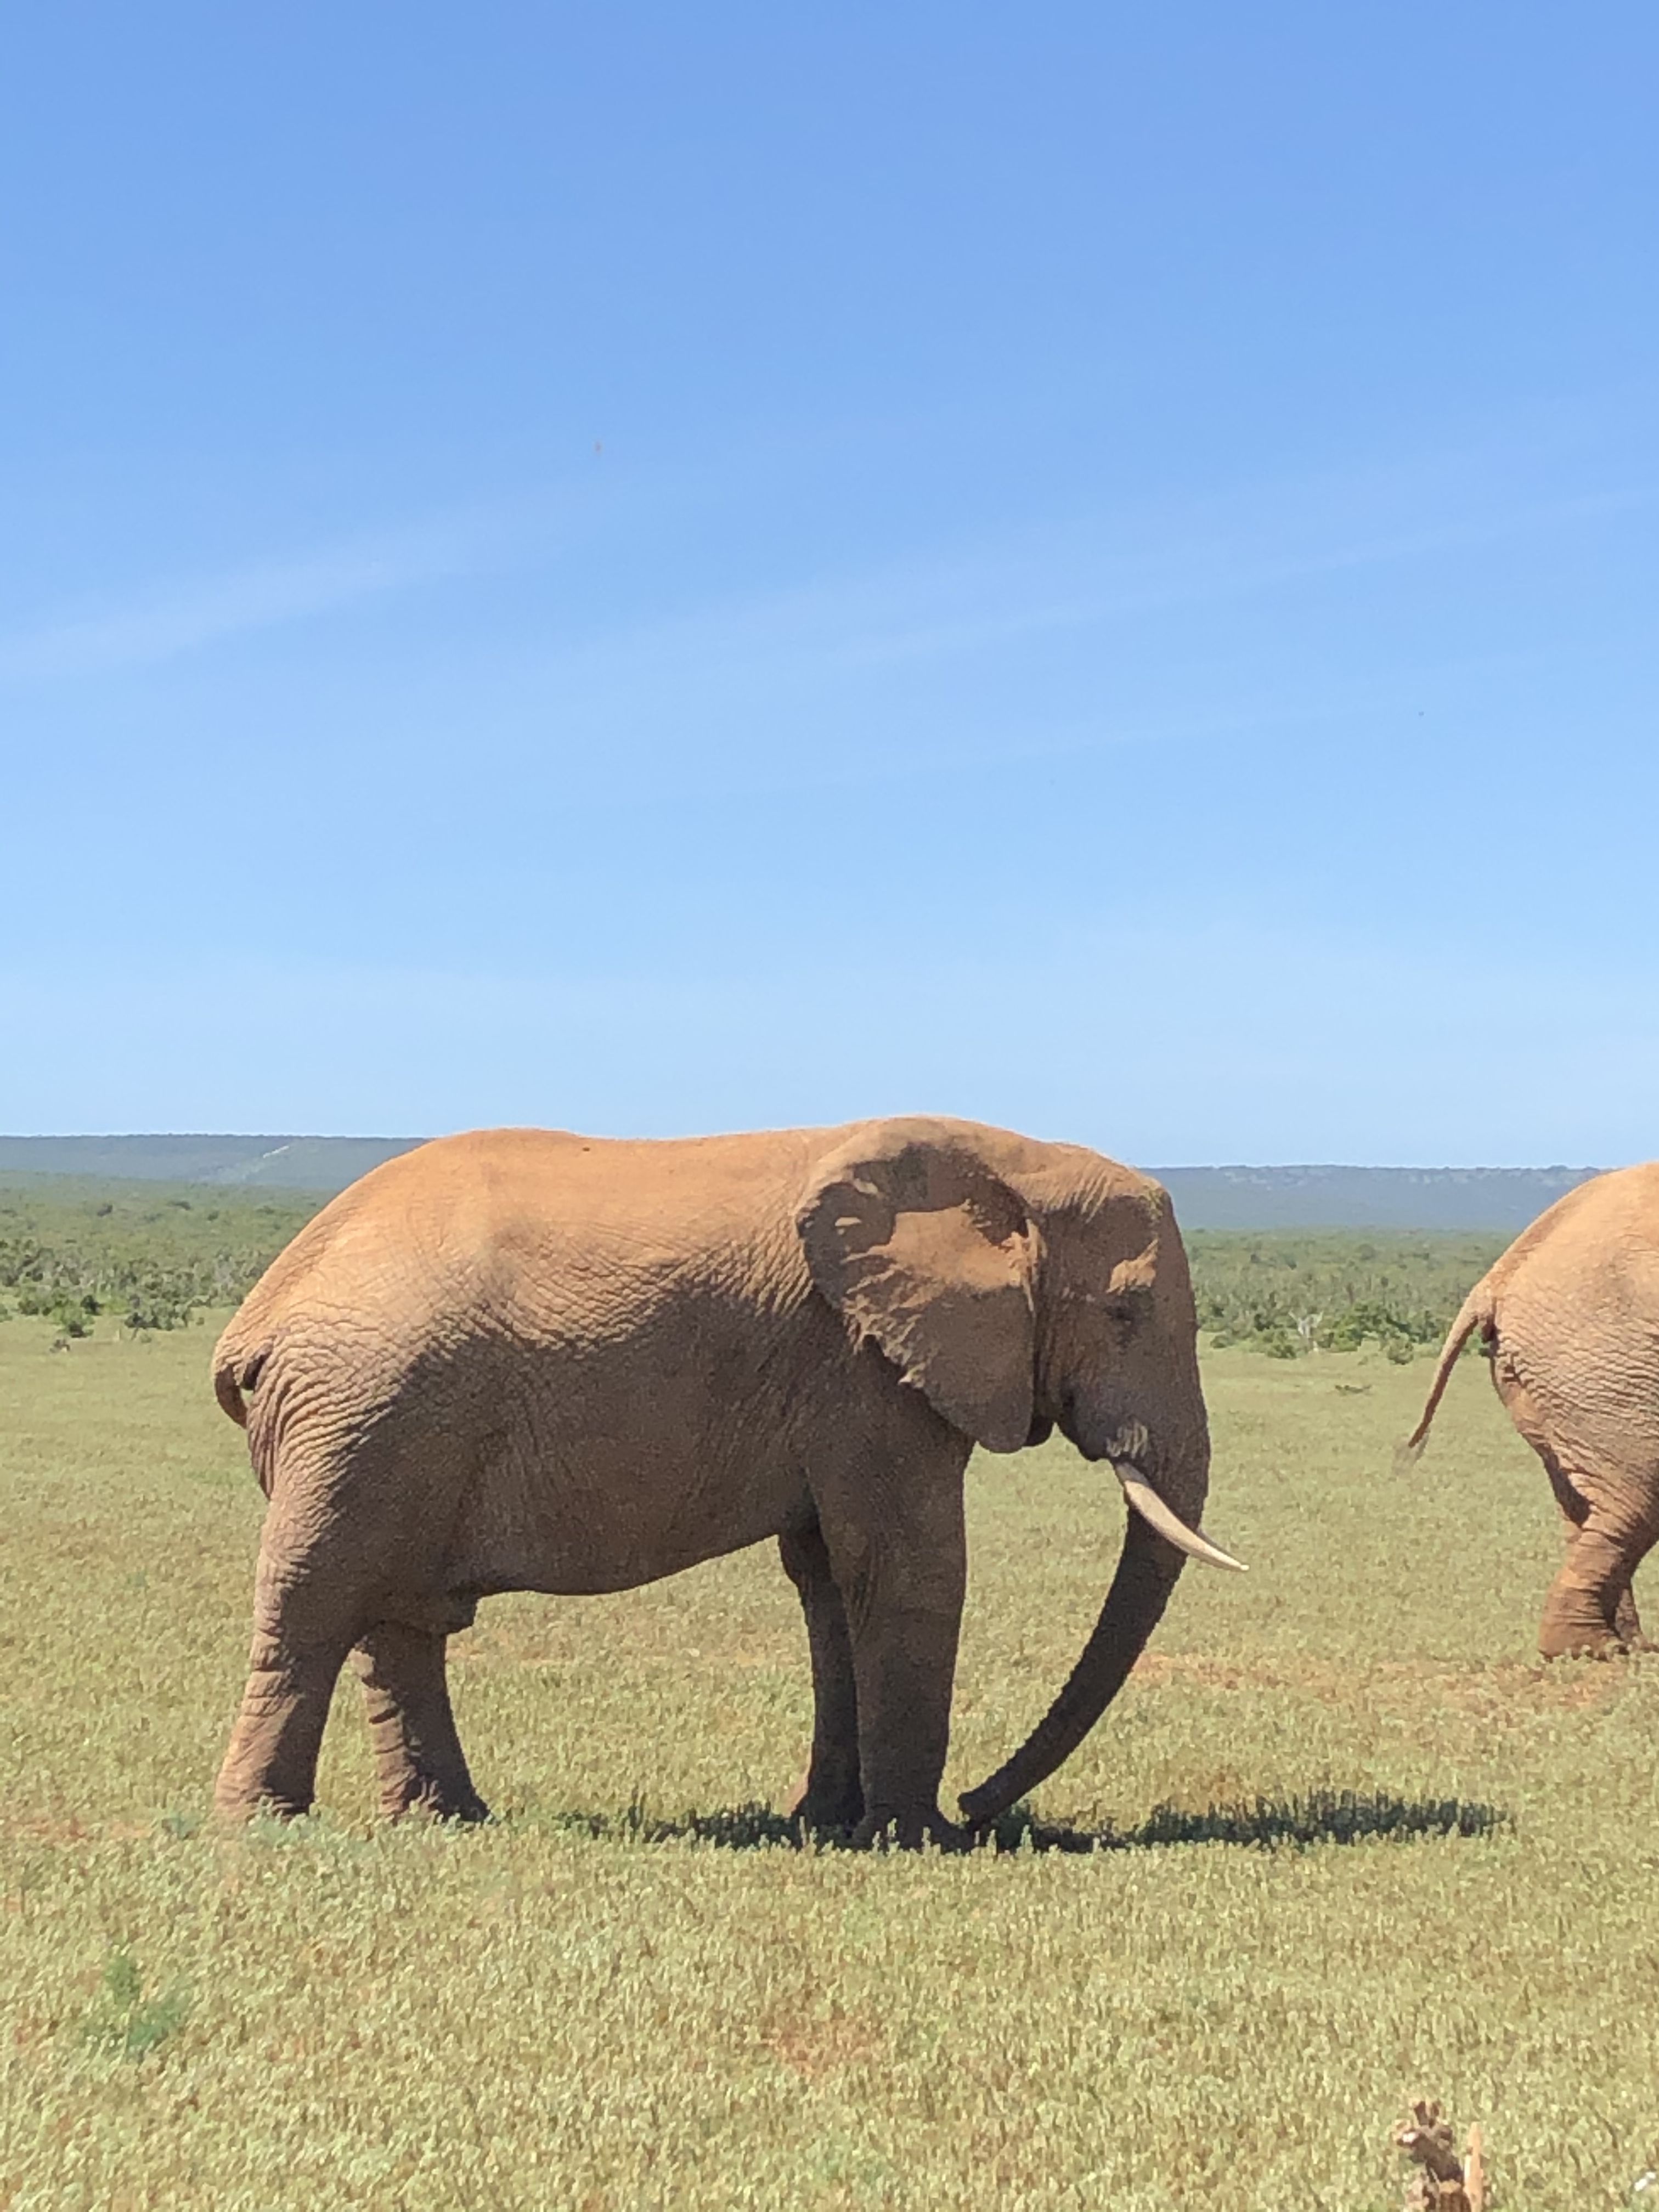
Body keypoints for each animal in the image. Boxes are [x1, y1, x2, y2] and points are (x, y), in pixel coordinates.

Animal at [211, 1115, 1248, 1840]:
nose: (979, 1804)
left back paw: (447, 1819)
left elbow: (829, 1581)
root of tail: (260, 1310)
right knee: (315, 1603)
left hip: (380, 1424)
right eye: (1124, 1313)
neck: (1011, 1164)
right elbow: (905, 1567)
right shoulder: (863, 1366)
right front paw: (915, 1838)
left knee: (404, 1624)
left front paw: (826, 1823)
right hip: (361, 1411)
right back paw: (260, 1827)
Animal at [1407, 1167, 1659, 1654]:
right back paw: (1597, 1649)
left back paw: (1625, 1646)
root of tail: (1498, 1277)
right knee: (1638, 1496)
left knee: (1586, 1507)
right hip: (1605, 1364)